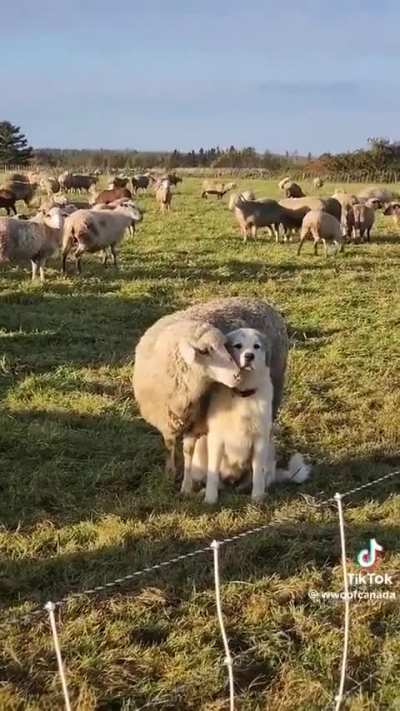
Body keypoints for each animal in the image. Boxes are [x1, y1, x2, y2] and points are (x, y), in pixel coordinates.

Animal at [133, 297, 288, 477]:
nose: (237, 376)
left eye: (226, 347)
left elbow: (188, 451)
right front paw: (170, 471)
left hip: (276, 389)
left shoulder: (195, 421)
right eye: (205, 351)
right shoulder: (166, 420)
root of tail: (262, 303)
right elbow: (169, 445)